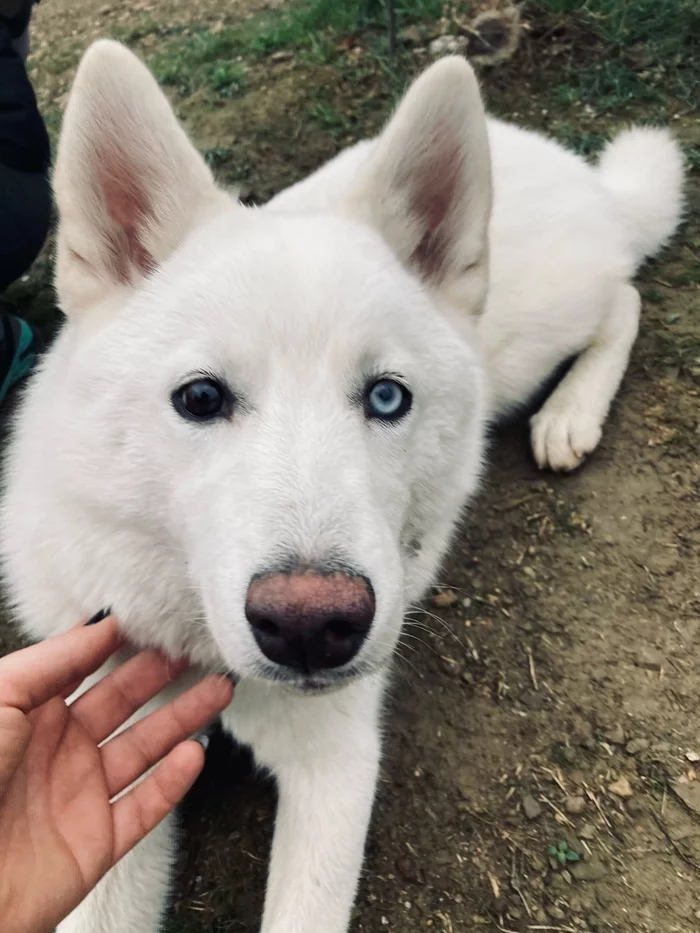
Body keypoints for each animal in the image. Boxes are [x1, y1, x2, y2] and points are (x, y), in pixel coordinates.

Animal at [2, 40, 680, 932]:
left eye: (387, 397)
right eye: (201, 397)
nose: (310, 626)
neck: (203, 653)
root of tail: (570, 166)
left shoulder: (337, 763)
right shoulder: (112, 767)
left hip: (540, 330)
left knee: (626, 298)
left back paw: (571, 413)